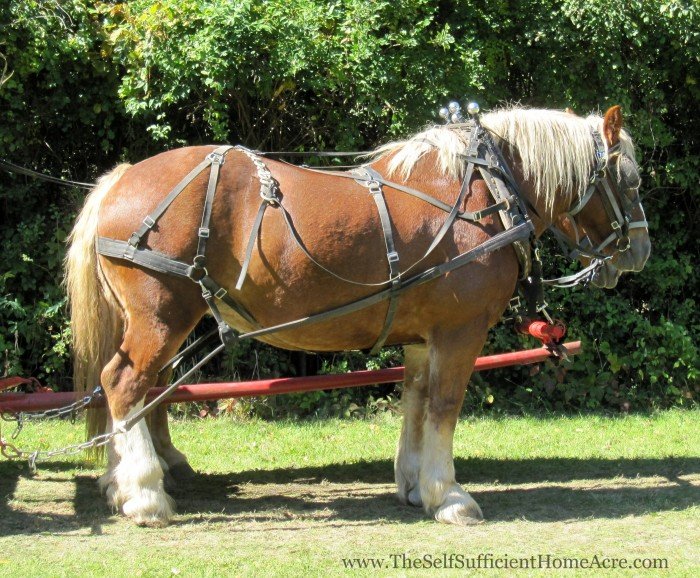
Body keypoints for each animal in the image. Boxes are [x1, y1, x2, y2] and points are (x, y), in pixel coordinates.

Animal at [64, 105, 650, 527]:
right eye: (631, 180)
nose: (641, 251)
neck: (483, 192)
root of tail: (120, 180)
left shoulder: (422, 336)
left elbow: (415, 402)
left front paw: (413, 484)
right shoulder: (459, 331)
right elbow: (444, 406)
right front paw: (448, 494)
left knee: (130, 389)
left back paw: (120, 482)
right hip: (162, 318)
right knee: (124, 385)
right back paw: (145, 496)